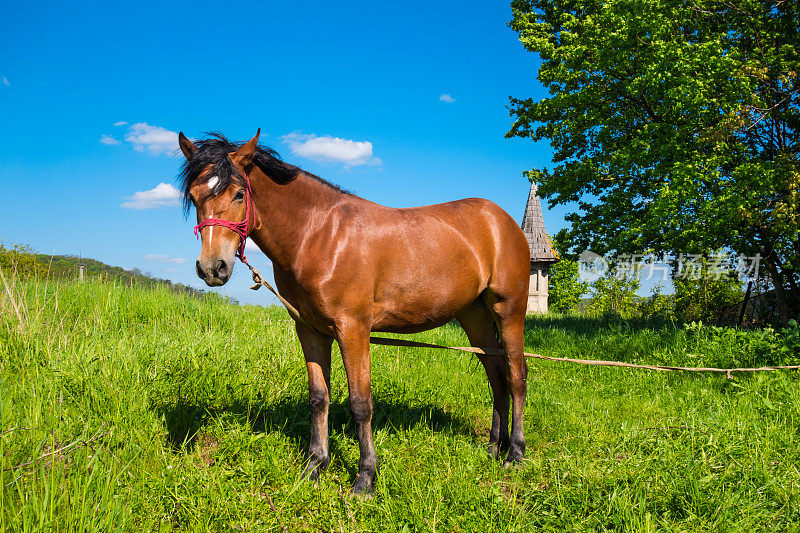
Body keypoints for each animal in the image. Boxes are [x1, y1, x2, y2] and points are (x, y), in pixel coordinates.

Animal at [177, 130, 528, 494]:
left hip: (509, 310)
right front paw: (314, 466)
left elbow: (361, 403)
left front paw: (365, 477)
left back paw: (514, 454)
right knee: (497, 377)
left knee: (516, 377)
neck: (319, 235)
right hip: (475, 317)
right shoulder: (311, 330)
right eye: (193, 195)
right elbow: (319, 397)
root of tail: (501, 220)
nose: (212, 267)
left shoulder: (353, 329)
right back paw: (493, 446)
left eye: (238, 193)